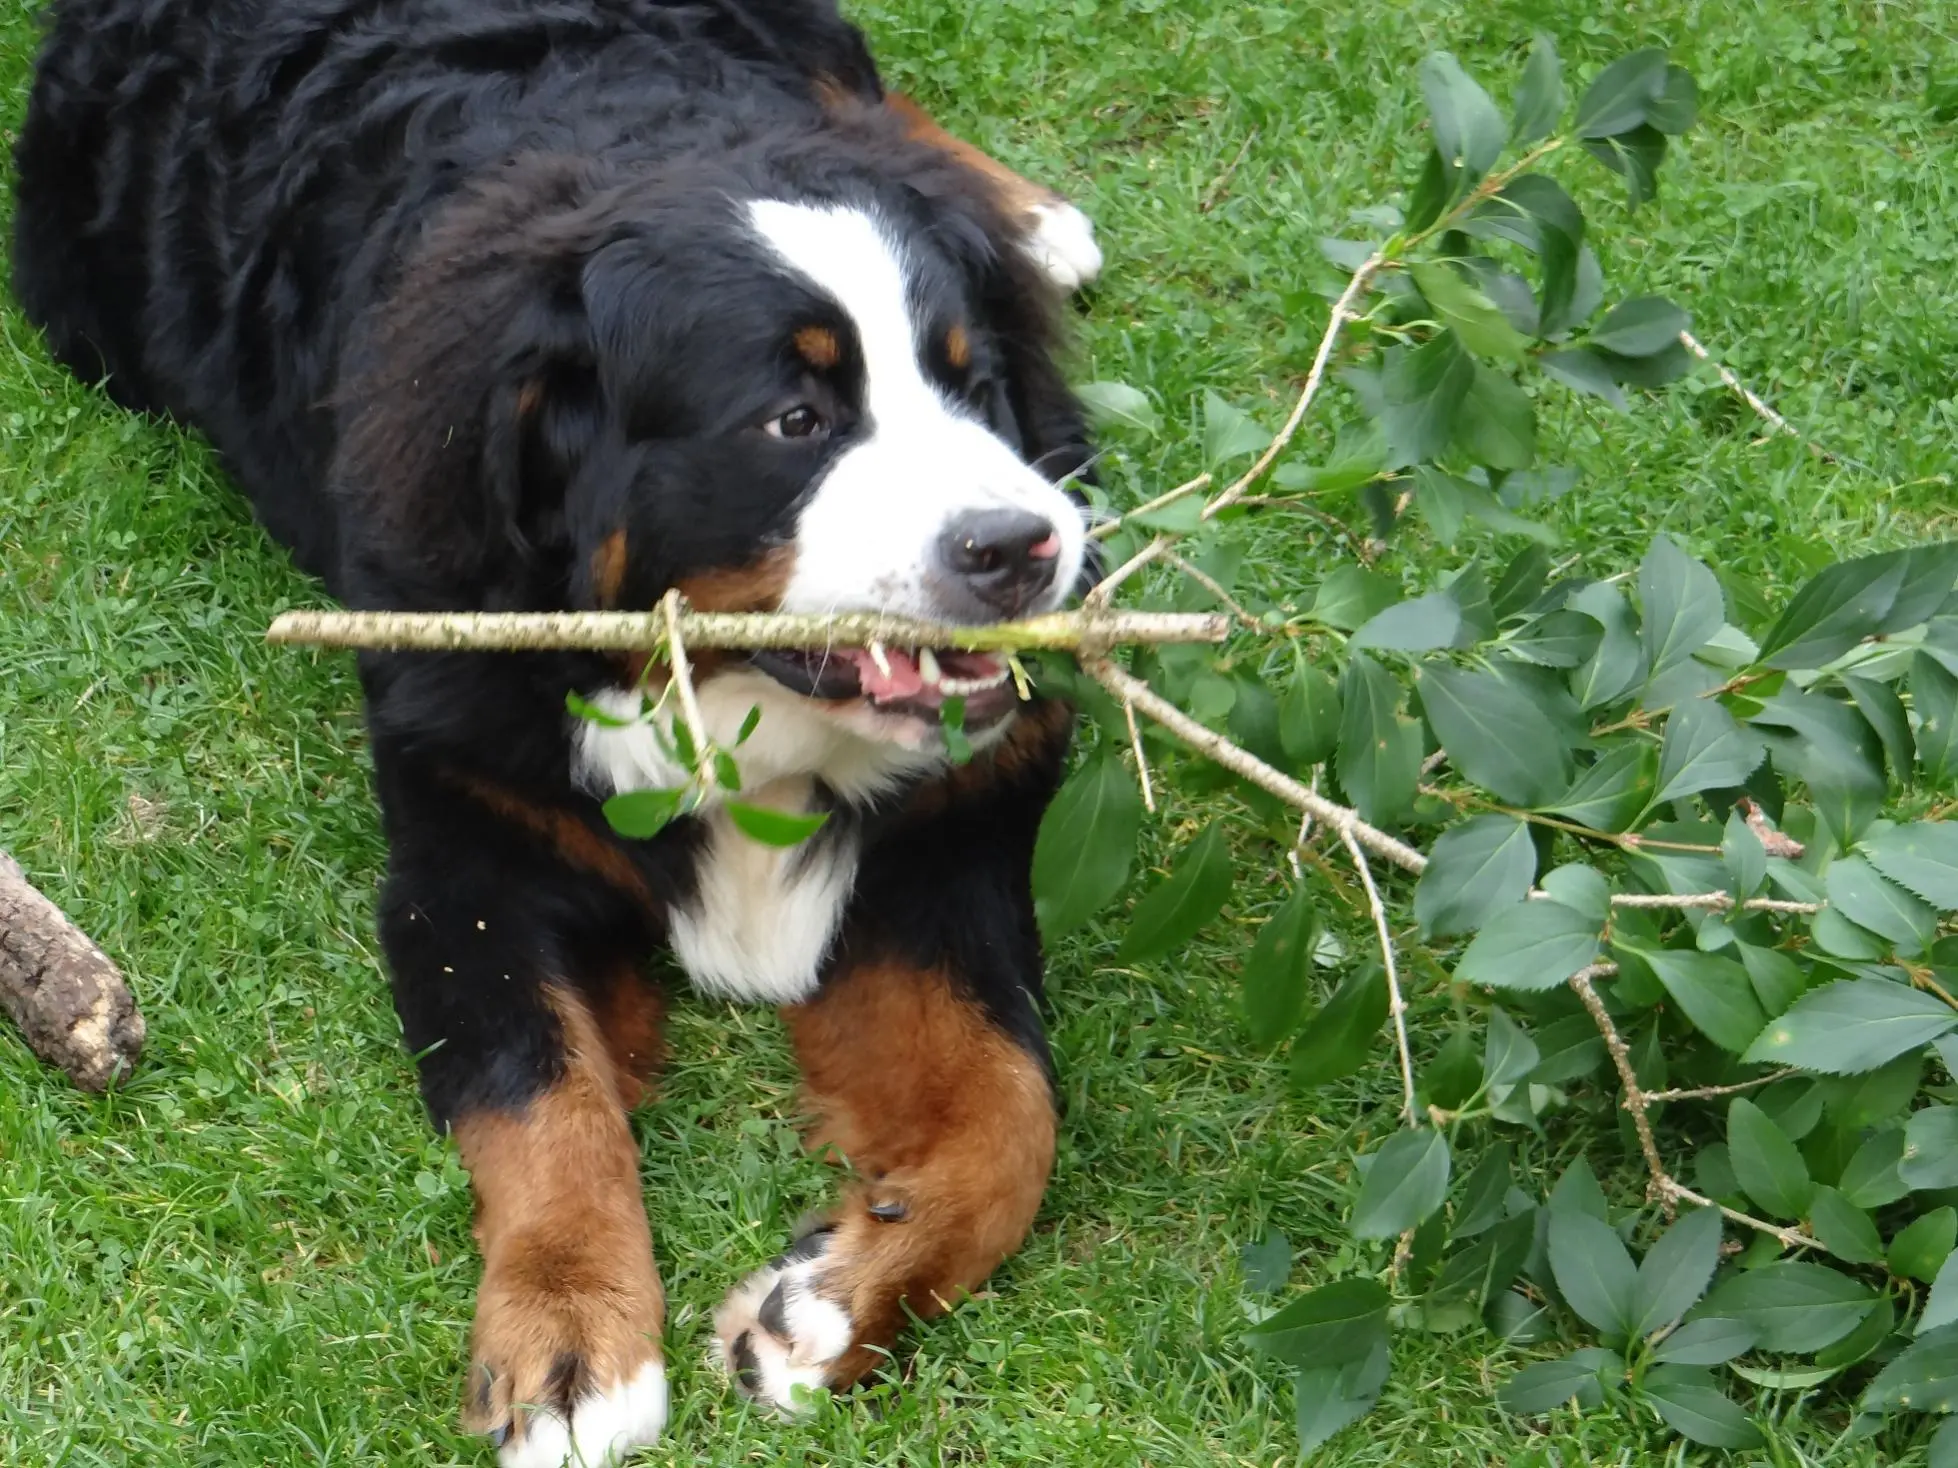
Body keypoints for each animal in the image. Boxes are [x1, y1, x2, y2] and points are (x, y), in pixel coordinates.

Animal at [11, 2, 1103, 1463]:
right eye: (795, 419)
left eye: (970, 386)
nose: (1022, 545)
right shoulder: (465, 862)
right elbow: (544, 1106)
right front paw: (571, 1344)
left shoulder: (947, 849)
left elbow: (1011, 1110)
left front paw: (833, 1301)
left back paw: (1029, 213)